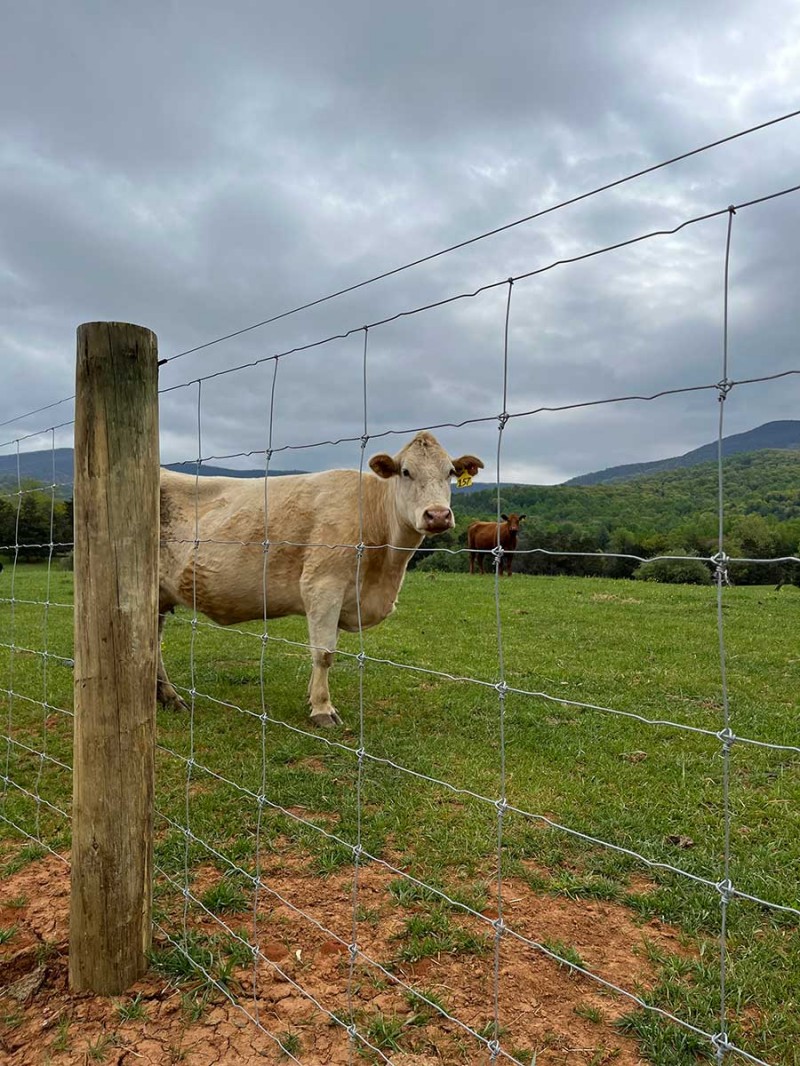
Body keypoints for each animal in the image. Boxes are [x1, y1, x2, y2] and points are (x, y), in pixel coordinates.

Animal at [157, 432, 484, 727]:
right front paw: (323, 709)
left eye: (450, 472)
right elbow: (325, 653)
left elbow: (326, 650)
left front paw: (311, 696)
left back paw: (169, 698)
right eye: (406, 472)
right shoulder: (323, 586)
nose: (438, 515)